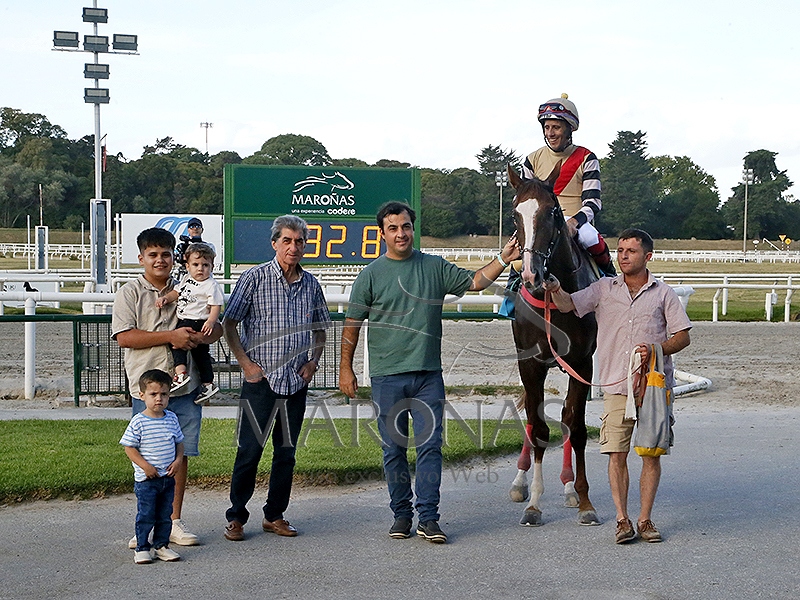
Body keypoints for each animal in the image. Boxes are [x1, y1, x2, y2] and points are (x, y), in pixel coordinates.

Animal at [506, 164, 600, 527]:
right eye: (514, 213)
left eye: (553, 211)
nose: (531, 275)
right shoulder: (530, 364)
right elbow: (538, 428)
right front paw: (533, 501)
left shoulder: (582, 362)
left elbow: (575, 427)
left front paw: (584, 499)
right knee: (533, 419)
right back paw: (520, 481)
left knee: (565, 418)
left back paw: (569, 487)